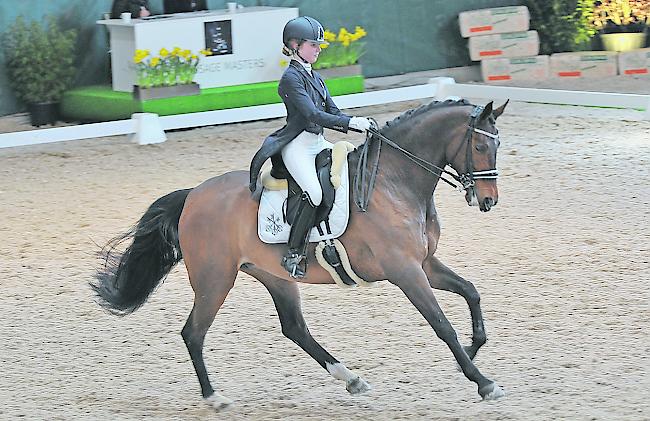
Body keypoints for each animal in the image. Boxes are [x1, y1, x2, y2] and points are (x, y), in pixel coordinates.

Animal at [91, 97, 506, 406]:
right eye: (480, 146)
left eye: (498, 145)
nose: (487, 201)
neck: (393, 181)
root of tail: (193, 194)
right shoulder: (405, 271)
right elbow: (442, 325)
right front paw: (483, 381)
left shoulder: (425, 263)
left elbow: (471, 292)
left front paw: (472, 350)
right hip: (215, 280)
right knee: (193, 333)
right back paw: (213, 397)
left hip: (274, 275)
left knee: (294, 328)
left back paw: (351, 378)